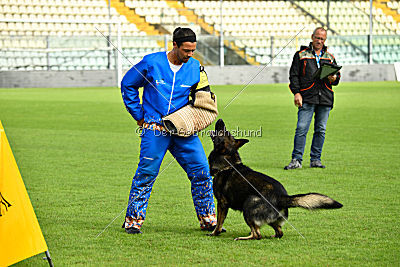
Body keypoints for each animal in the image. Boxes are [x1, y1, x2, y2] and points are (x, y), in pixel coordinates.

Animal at [208, 120, 342, 242]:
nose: (220, 120)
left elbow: (219, 223)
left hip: (249, 204)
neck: (228, 163)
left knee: (257, 235)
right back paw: (271, 236)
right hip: (271, 220)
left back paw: (243, 238)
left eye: (223, 131)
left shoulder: (222, 203)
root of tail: (281, 197)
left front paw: (214, 233)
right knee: (279, 232)